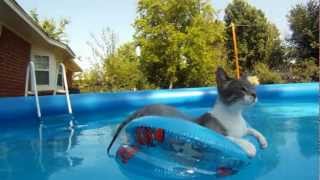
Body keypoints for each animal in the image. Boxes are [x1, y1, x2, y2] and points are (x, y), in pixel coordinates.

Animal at [107, 67, 268, 157]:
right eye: (242, 89)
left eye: (253, 87)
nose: (254, 95)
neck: (234, 114)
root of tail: (144, 107)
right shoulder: (214, 132)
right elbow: (232, 138)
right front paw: (249, 146)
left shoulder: (244, 129)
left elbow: (253, 130)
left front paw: (263, 140)